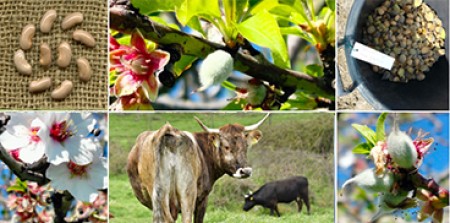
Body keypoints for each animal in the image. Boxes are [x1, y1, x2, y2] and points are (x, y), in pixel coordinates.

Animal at [126, 114, 268, 222]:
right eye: (226, 147)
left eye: (246, 146)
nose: (246, 171)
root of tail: (168, 132)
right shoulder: (202, 199)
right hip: (188, 193)